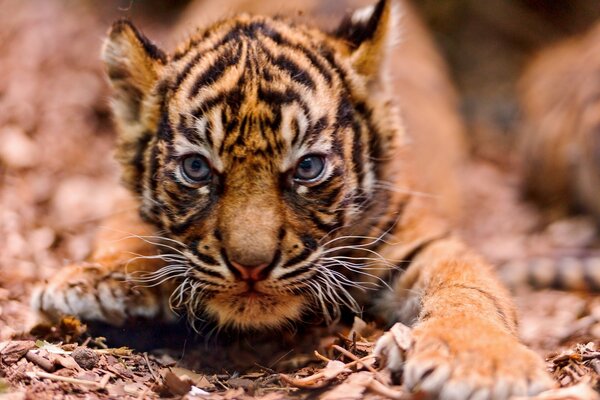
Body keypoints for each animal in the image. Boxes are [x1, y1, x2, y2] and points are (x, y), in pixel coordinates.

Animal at [30, 1, 552, 398]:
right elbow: (126, 221)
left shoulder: (426, 242)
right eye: (197, 168)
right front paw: (95, 279)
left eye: (308, 167)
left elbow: (469, 290)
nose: (251, 268)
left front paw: (479, 362)